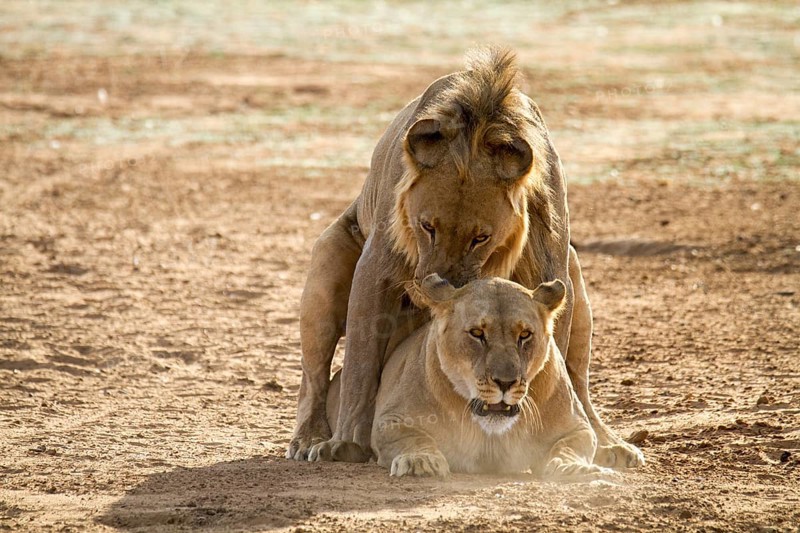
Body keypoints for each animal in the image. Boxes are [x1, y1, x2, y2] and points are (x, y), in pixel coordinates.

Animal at [322, 274, 613, 480]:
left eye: (525, 335)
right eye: (477, 333)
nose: (505, 383)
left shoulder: (576, 426)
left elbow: (569, 448)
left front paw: (576, 469)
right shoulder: (390, 420)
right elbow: (413, 438)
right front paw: (420, 461)